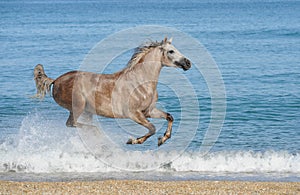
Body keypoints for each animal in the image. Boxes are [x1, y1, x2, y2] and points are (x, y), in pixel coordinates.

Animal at [32, 37, 191, 145]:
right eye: (171, 51)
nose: (188, 63)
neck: (140, 81)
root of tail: (56, 80)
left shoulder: (149, 111)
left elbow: (169, 117)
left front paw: (162, 139)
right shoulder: (134, 114)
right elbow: (152, 128)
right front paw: (133, 141)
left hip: (84, 110)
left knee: (73, 124)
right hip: (78, 106)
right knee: (72, 124)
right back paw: (96, 131)